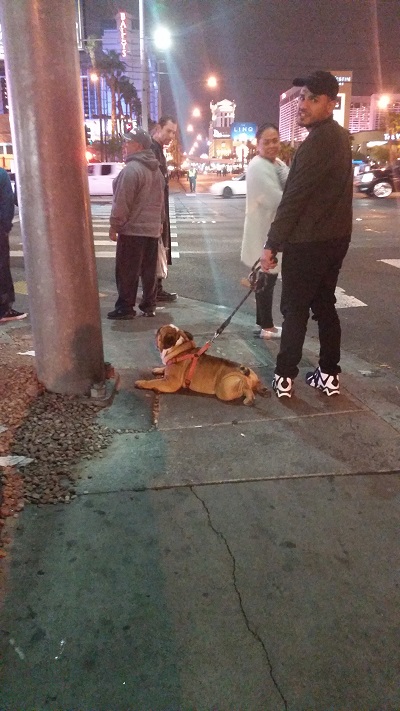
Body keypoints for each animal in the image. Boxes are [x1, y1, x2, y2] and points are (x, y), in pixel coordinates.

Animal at [134, 324, 268, 406]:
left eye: (159, 332)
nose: (156, 331)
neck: (179, 349)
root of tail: (245, 373)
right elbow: (163, 368)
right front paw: (158, 369)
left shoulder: (170, 382)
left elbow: (153, 382)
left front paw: (141, 383)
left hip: (225, 388)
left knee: (246, 388)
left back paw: (249, 398)